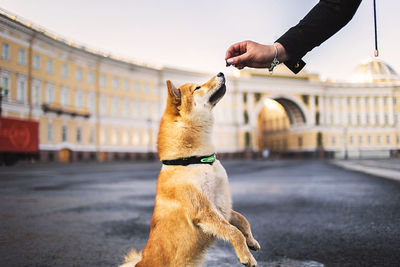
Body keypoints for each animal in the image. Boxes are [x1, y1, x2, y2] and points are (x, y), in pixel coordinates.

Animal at [120, 73, 260, 267]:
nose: (221, 73)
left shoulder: (221, 207)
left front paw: (252, 241)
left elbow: (242, 220)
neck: (194, 160)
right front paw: (246, 256)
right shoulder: (204, 210)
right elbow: (234, 231)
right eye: (197, 88)